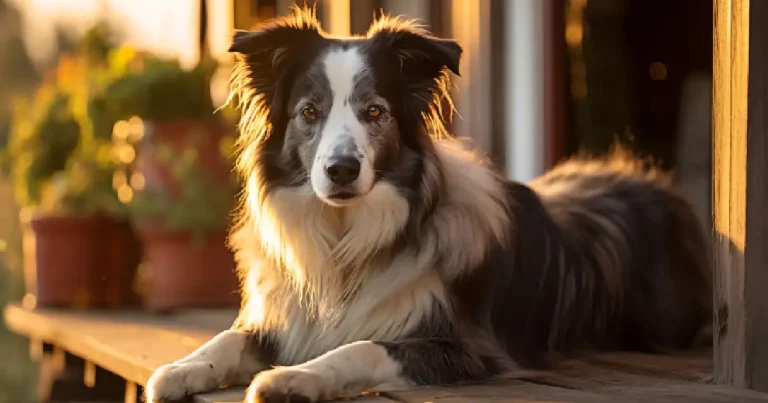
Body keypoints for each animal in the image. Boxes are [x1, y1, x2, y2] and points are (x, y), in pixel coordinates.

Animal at [146, 7, 712, 403]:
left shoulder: (465, 348)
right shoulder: (286, 319)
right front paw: (179, 369)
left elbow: (361, 346)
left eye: (375, 111)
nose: (341, 170)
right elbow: (226, 340)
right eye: (309, 112)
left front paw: (295, 377)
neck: (346, 238)